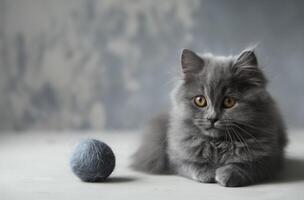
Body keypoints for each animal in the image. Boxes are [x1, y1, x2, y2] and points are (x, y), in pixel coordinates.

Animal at [131, 47, 288, 187]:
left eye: (229, 102)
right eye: (200, 100)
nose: (212, 118)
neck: (217, 143)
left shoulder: (271, 158)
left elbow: (249, 165)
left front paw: (228, 173)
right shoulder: (176, 155)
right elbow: (190, 163)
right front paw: (207, 172)